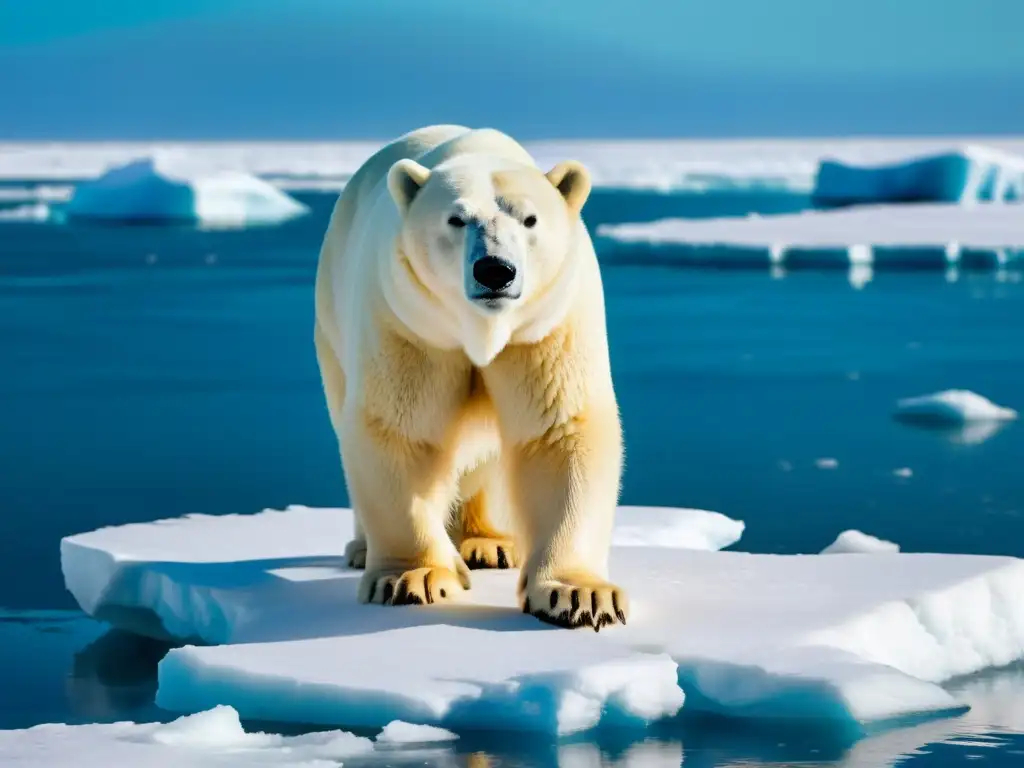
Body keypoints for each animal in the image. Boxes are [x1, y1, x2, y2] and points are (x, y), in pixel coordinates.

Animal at [315, 126, 626, 630]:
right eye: (455, 219)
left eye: (530, 219)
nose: (495, 270)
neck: (481, 330)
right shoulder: (412, 325)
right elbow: (402, 431)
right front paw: (412, 578)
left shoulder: (545, 326)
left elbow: (558, 431)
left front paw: (580, 595)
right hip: (334, 321)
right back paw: (364, 548)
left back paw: (490, 544)